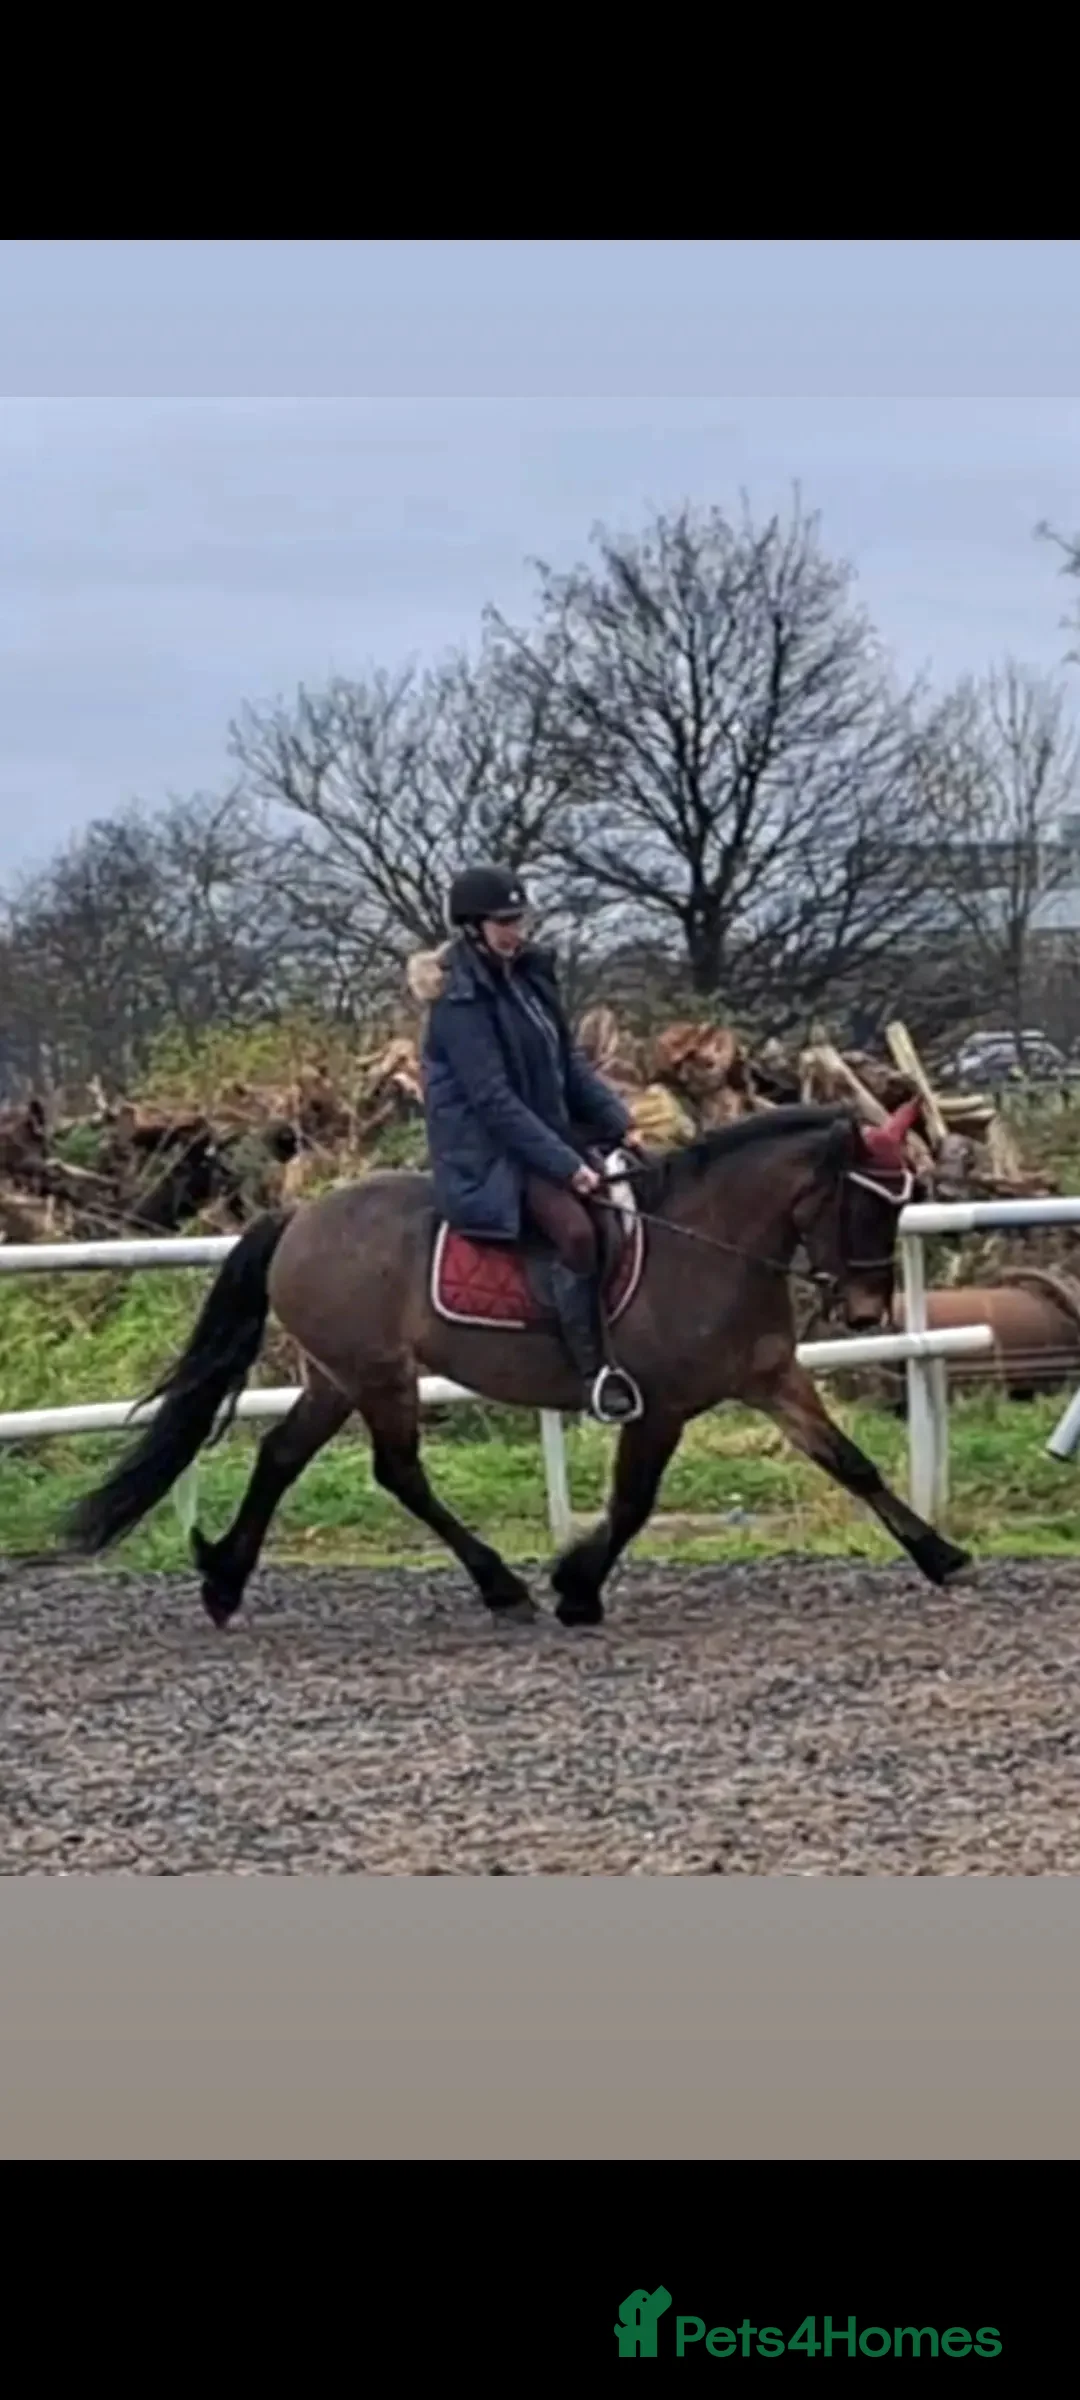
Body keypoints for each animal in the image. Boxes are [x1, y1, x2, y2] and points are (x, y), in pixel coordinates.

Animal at [55, 1095, 973, 1629]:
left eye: (903, 1202)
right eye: (865, 1200)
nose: (865, 1314)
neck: (709, 1244)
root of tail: (300, 1216)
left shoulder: (772, 1378)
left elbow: (850, 1464)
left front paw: (941, 1557)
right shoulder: (662, 1405)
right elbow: (634, 1503)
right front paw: (576, 1586)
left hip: (337, 1377)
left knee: (282, 1456)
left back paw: (223, 1579)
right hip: (379, 1376)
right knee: (398, 1472)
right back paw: (502, 1587)